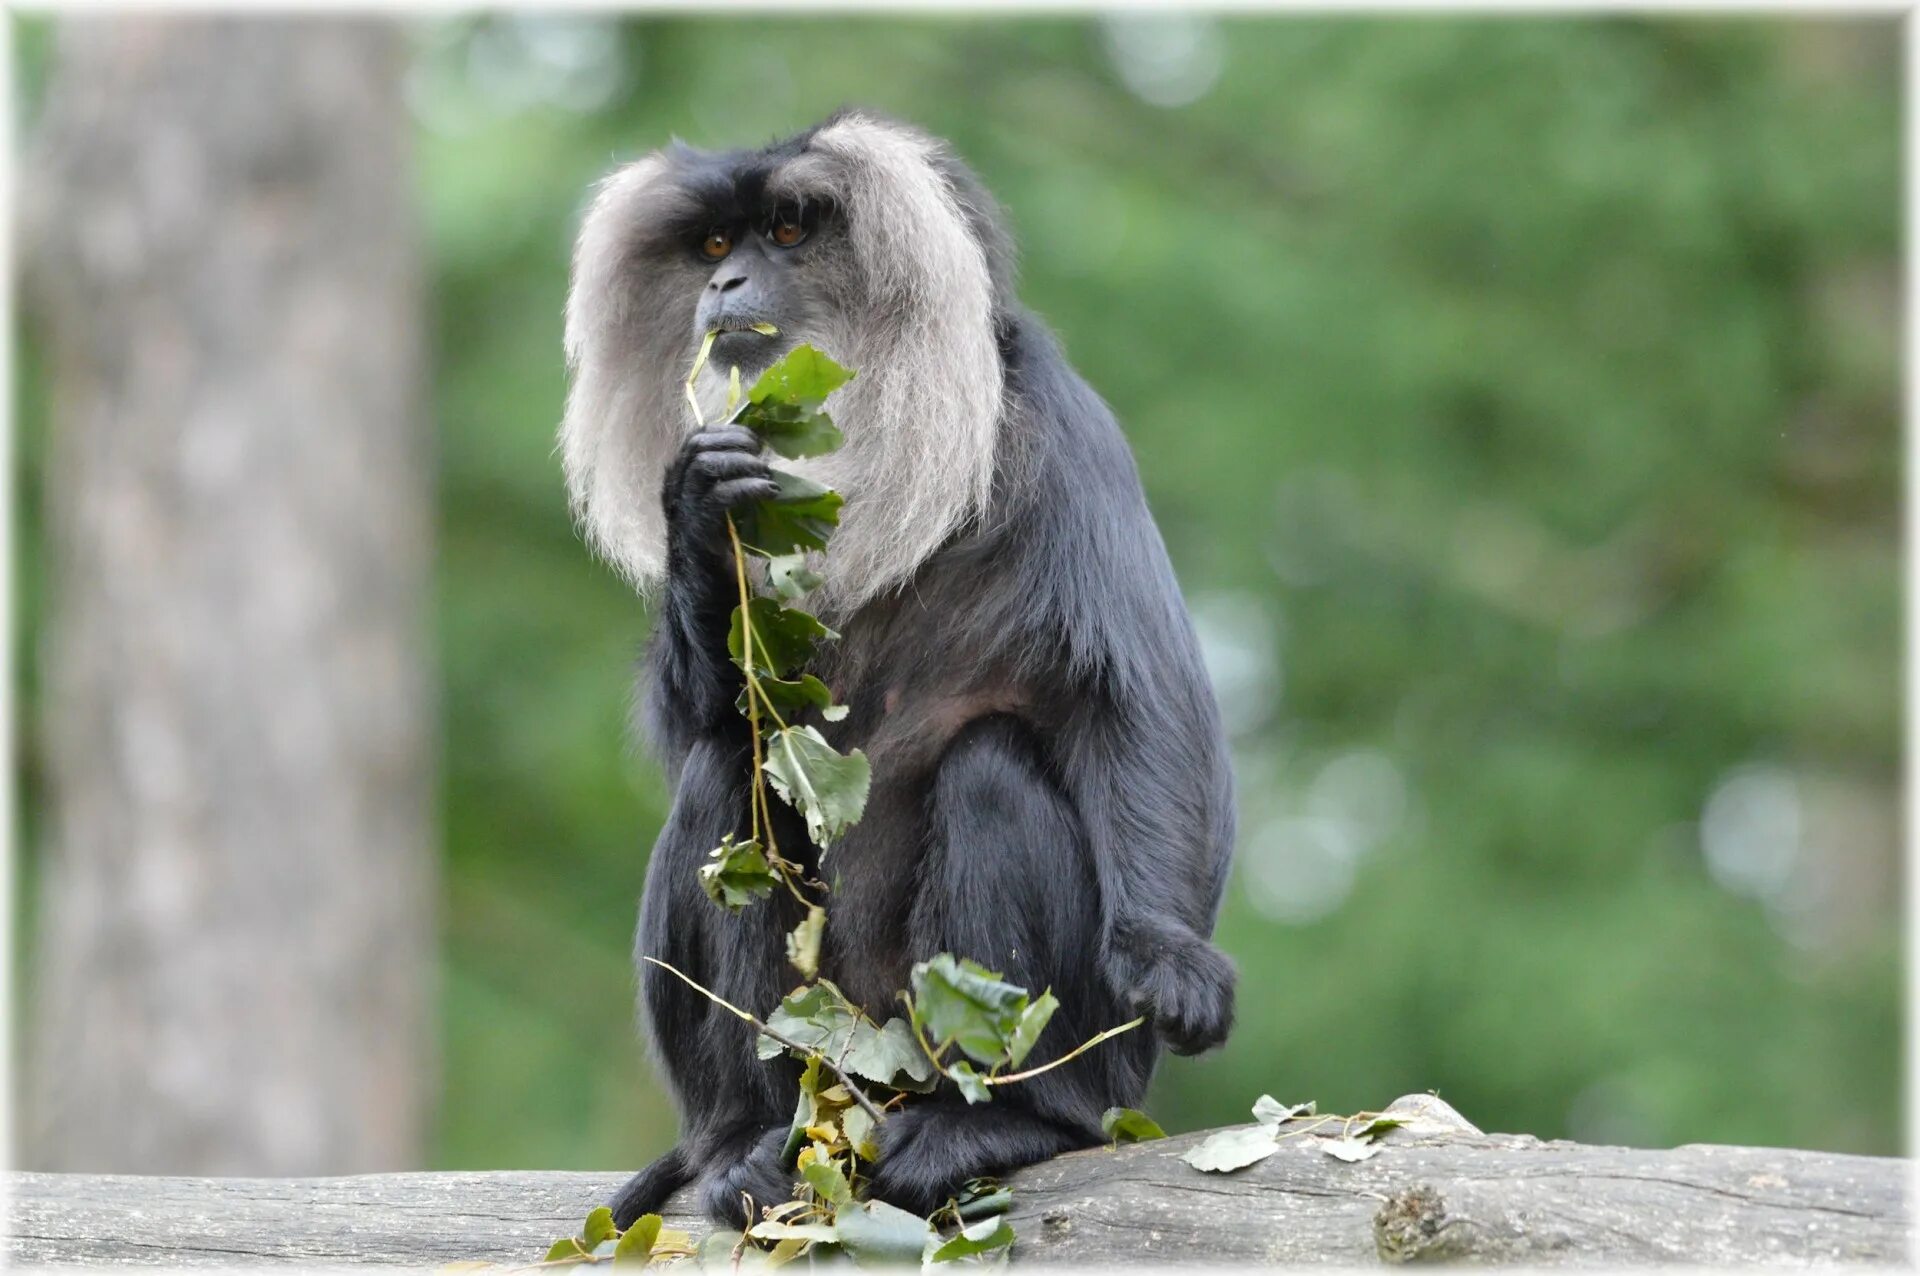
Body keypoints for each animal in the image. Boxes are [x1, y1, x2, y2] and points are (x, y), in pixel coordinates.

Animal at [560, 114, 1236, 1228]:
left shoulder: (1057, 431)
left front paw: (1172, 958)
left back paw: (999, 1124)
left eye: (789, 232)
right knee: (727, 779)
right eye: (714, 246)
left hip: (1074, 1062)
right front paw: (701, 511)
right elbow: (704, 724)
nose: (727, 284)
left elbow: (1139, 707)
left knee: (993, 768)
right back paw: (746, 1147)